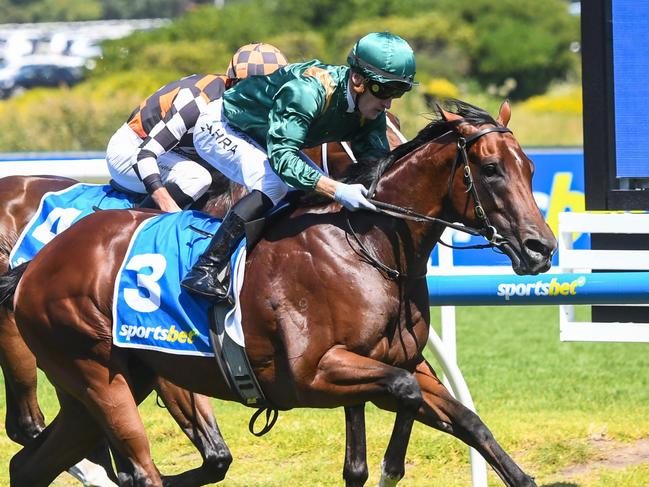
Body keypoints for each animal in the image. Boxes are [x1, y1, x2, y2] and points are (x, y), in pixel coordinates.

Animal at [5, 101, 556, 486]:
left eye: (530, 168)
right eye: (491, 169)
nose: (542, 247)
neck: (365, 245)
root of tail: (38, 263)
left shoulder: (402, 359)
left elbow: (465, 419)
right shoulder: (311, 375)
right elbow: (402, 393)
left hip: (106, 386)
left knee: (28, 464)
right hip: (97, 376)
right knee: (134, 469)